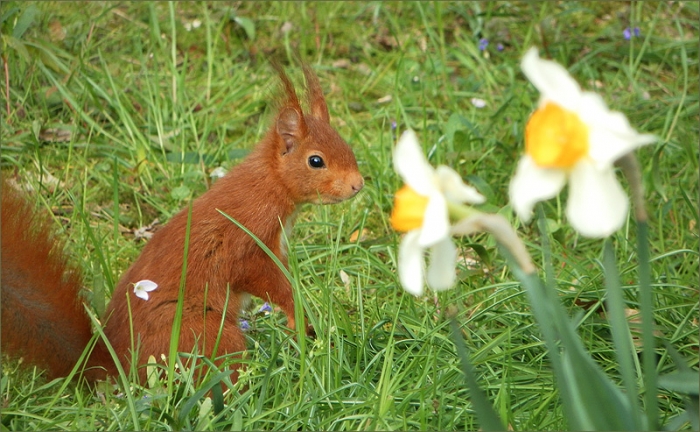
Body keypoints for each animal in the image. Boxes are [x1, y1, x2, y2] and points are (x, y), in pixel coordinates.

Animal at [1, 63, 364, 384]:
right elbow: (262, 278)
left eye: (346, 145)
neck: (269, 186)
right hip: (203, 334)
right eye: (316, 161)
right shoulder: (245, 241)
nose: (358, 184)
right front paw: (295, 312)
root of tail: (116, 369)